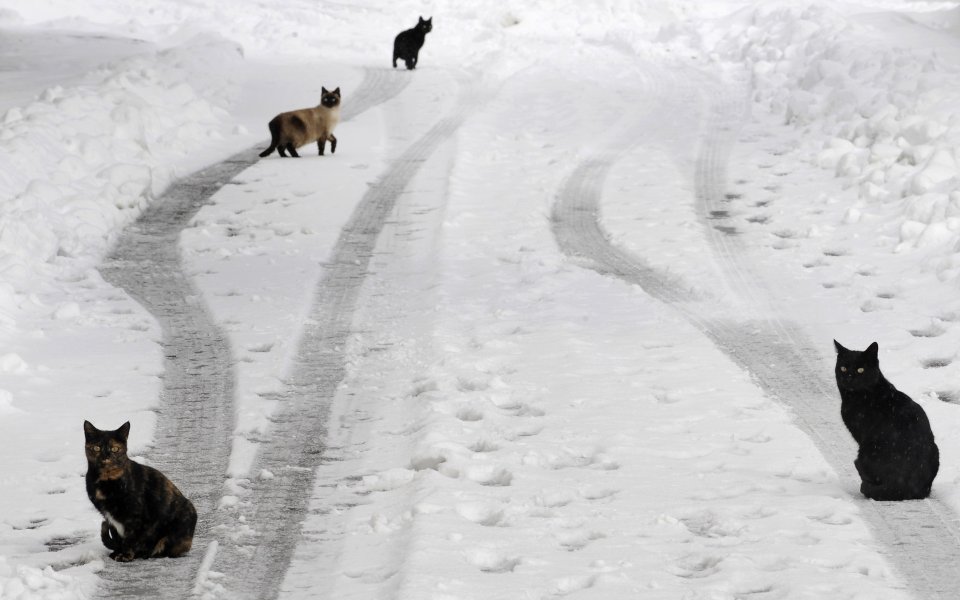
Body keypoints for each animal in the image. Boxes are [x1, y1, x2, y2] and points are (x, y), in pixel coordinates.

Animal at [84, 420, 199, 560]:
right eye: (97, 448)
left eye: (115, 449)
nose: (105, 457)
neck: (106, 480)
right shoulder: (108, 517)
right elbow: (117, 537)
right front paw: (117, 552)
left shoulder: (135, 515)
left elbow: (130, 537)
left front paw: (125, 555)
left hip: (184, 515)